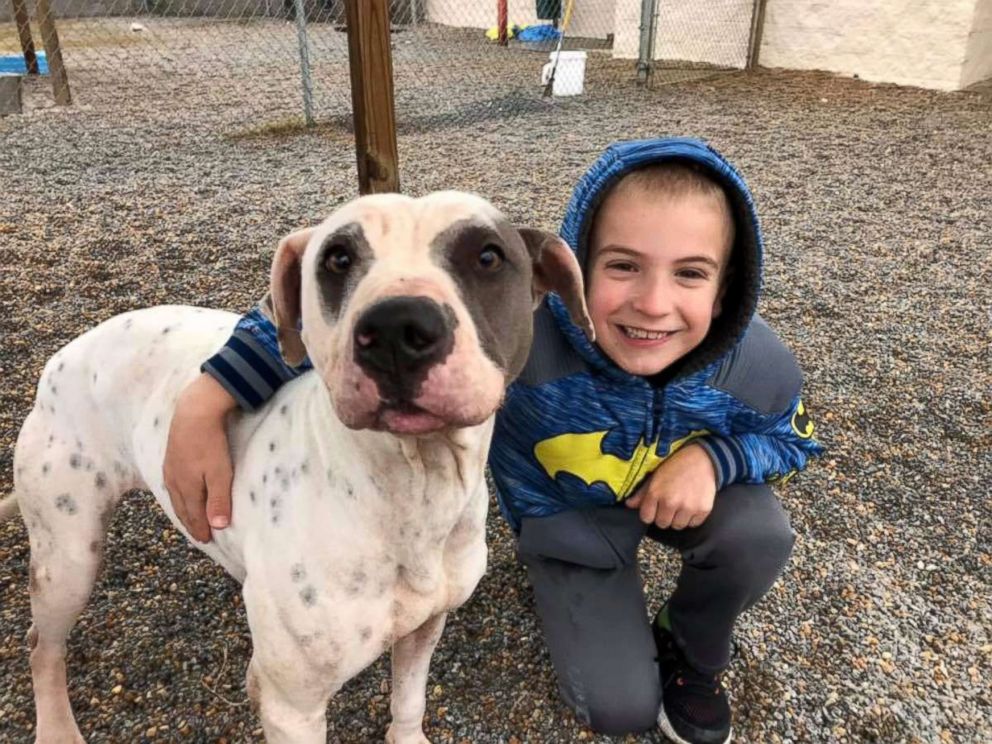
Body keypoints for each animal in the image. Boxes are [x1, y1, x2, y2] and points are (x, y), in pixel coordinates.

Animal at [3, 193, 592, 744]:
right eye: (337, 257)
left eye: (487, 256)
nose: (397, 327)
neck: (413, 486)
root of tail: (64, 355)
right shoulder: (296, 709)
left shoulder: (424, 627)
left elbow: (409, 699)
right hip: (69, 557)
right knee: (41, 645)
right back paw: (56, 725)